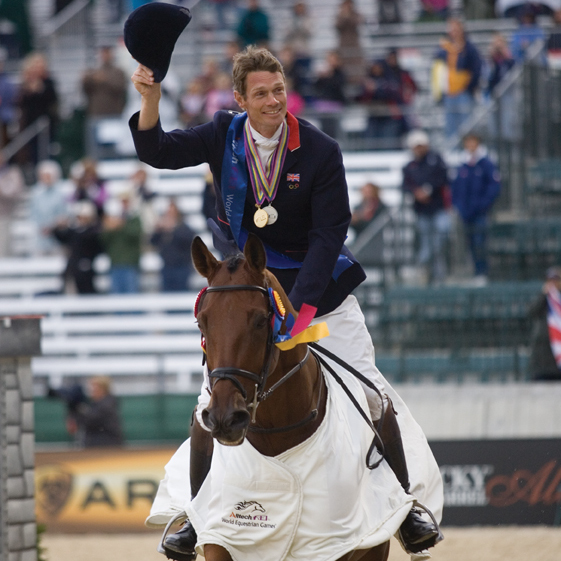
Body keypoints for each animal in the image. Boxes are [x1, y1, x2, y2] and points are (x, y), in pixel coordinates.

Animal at [190, 235, 400, 560]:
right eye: (202, 322)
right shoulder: (222, 536)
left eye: (261, 320)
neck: (276, 433)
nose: (226, 418)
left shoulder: (335, 543)